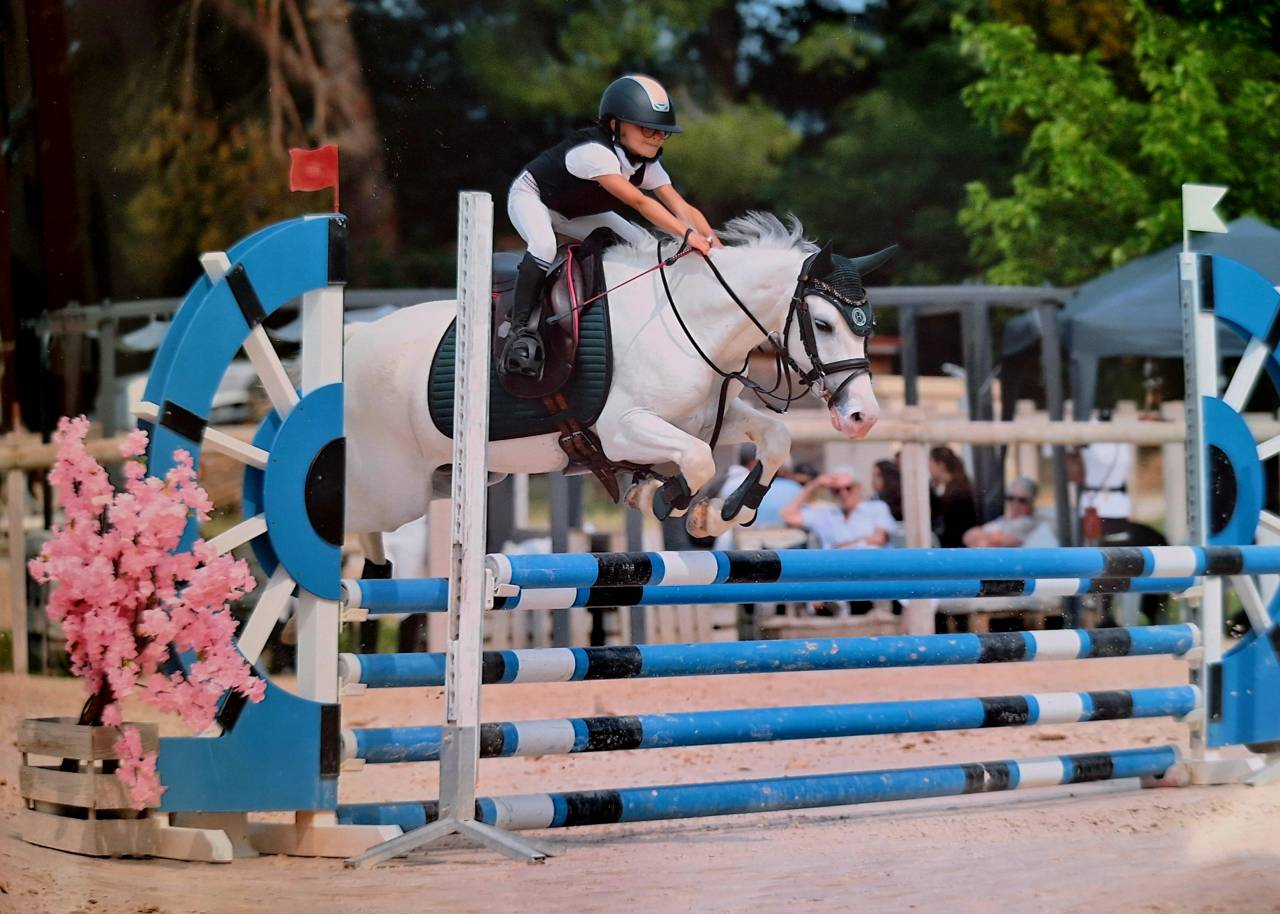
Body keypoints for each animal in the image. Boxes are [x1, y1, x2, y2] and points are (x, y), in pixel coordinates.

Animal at [343, 212, 893, 561]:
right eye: (822, 324)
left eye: (867, 325)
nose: (863, 416)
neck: (684, 321)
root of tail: (354, 345)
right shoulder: (623, 429)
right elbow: (698, 461)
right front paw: (657, 495)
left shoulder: (709, 418)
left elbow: (775, 438)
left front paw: (716, 515)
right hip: (391, 492)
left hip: (444, 481)